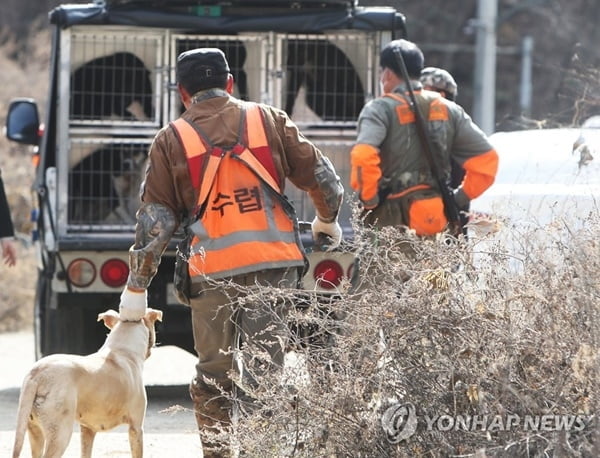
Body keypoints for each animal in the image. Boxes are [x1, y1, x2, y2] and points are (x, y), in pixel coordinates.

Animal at [13, 308, 164, 458]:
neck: (122, 350)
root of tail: (36, 375)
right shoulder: (136, 428)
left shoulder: (87, 430)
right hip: (60, 434)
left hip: (34, 431)